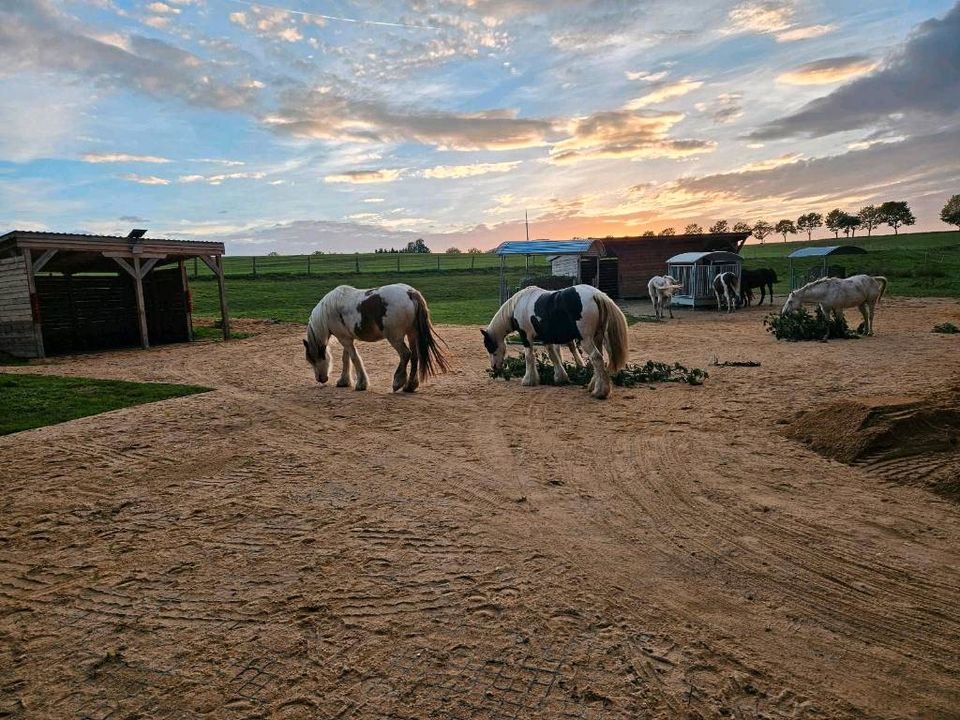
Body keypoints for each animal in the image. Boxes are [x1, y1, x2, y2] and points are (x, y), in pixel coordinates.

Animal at [304, 282, 450, 394]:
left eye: (313, 359)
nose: (320, 379)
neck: (329, 310)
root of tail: (410, 293)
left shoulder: (344, 339)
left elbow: (354, 358)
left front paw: (361, 384)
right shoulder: (347, 338)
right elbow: (346, 358)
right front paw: (344, 381)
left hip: (395, 338)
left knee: (405, 354)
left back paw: (398, 382)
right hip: (412, 334)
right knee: (414, 356)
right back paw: (409, 386)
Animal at [480, 284, 632, 400]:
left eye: (489, 347)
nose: (494, 367)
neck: (518, 305)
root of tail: (596, 294)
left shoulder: (526, 337)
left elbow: (529, 357)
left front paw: (529, 380)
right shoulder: (546, 338)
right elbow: (554, 356)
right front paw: (561, 377)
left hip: (586, 340)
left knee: (596, 358)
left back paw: (600, 392)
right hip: (597, 338)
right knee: (599, 360)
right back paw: (593, 386)